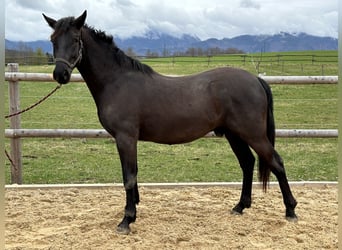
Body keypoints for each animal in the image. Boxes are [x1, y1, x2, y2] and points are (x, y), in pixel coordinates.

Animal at [44, 10, 296, 233]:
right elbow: (133, 176)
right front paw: (133, 211)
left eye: (75, 39)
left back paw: (290, 210)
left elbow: (129, 177)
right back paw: (240, 206)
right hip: (234, 134)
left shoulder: (126, 138)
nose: (60, 75)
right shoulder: (128, 140)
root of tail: (255, 79)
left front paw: (126, 220)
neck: (117, 81)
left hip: (253, 134)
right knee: (247, 163)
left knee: (276, 163)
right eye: (53, 39)